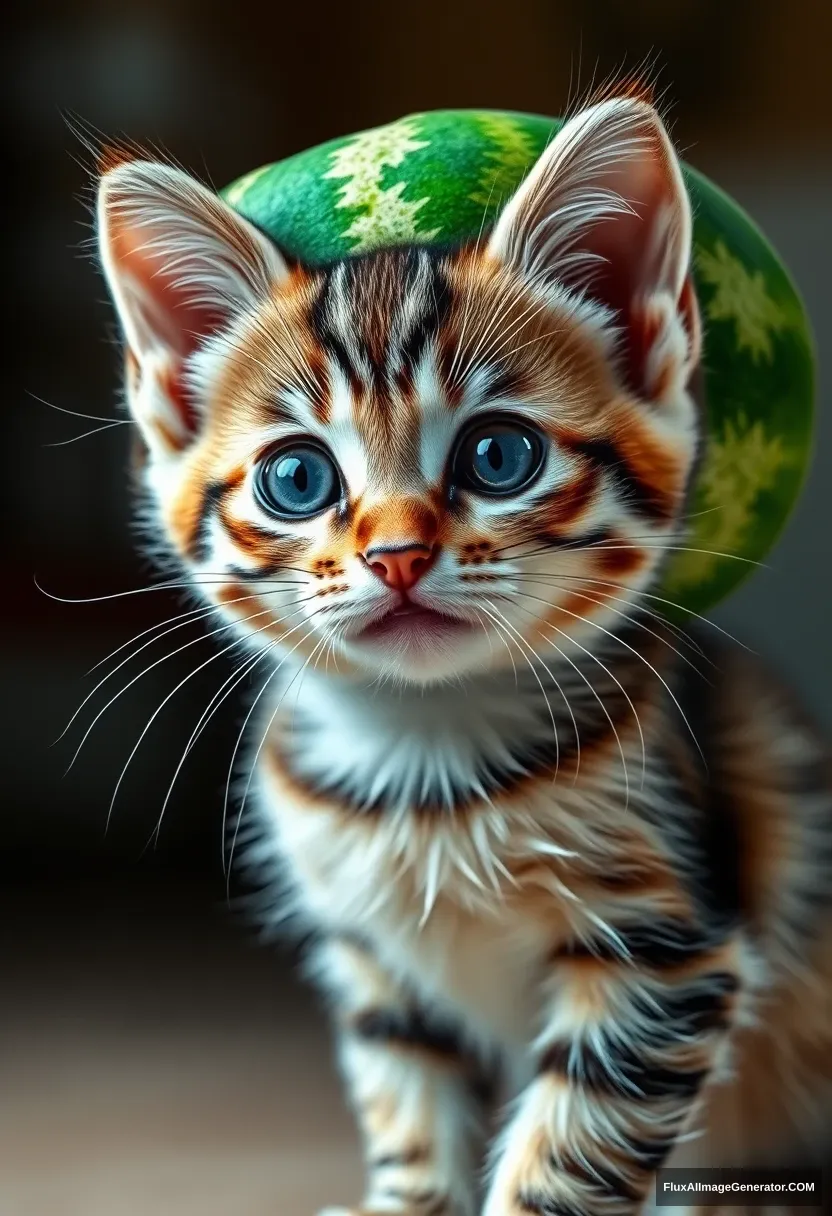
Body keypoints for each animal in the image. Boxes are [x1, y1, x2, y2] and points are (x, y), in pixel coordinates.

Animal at [94, 97, 827, 1216]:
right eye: (296, 478)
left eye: (499, 455)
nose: (396, 553)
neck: (426, 756)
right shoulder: (376, 966)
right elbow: (406, 1099)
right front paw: (404, 1200)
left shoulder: (668, 951)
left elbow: (569, 1156)